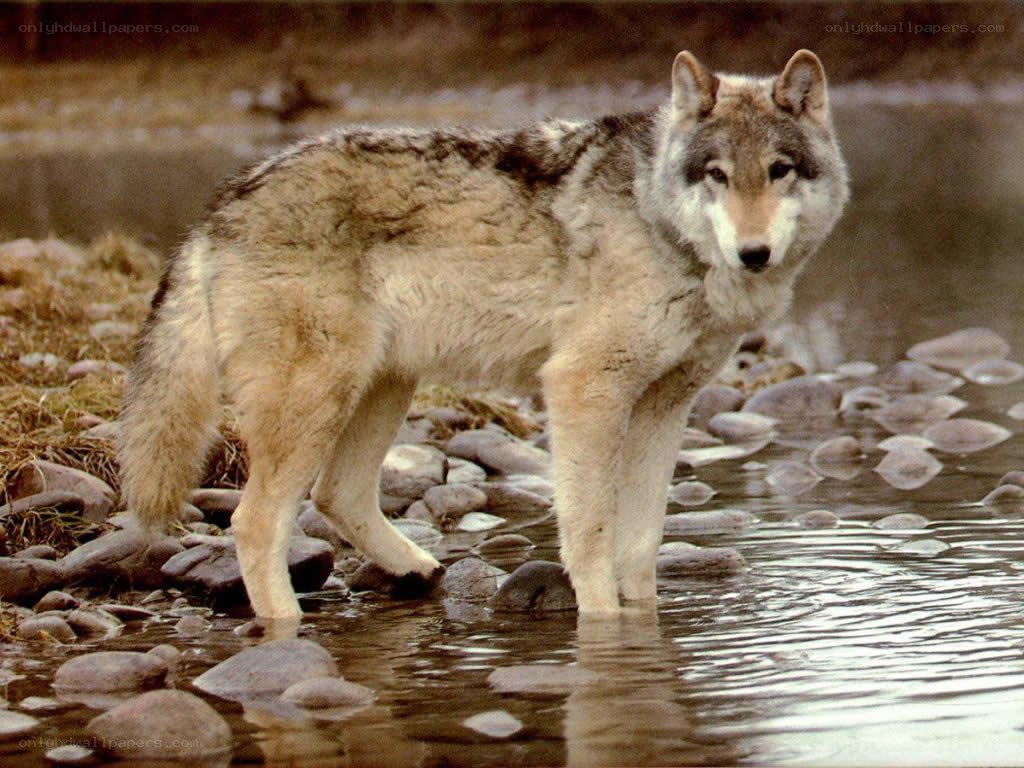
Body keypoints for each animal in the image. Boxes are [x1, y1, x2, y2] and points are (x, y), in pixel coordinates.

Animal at [119, 50, 848, 618]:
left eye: (779, 170)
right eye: (717, 174)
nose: (754, 253)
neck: (658, 222)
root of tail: (223, 201)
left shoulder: (664, 407)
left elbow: (640, 545)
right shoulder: (583, 389)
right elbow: (590, 534)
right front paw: (602, 626)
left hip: (384, 386)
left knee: (337, 495)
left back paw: (417, 570)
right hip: (317, 401)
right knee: (255, 522)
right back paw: (287, 634)